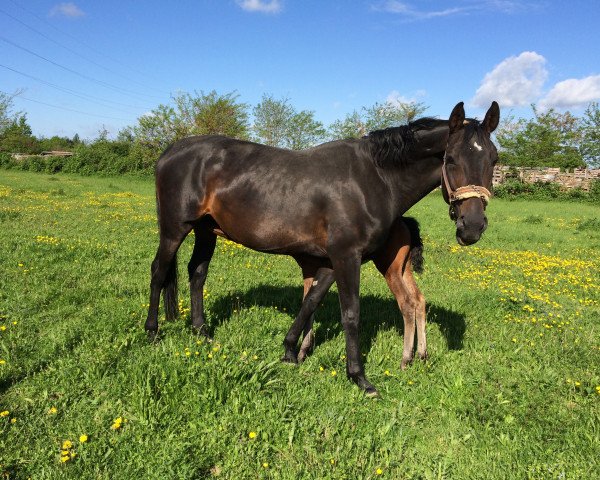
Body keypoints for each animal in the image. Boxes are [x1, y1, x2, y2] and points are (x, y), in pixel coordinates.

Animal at [148, 100, 500, 394]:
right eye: (450, 159)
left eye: (494, 159)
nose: (472, 226)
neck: (373, 179)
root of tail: (171, 152)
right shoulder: (346, 257)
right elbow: (351, 314)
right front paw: (359, 377)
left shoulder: (330, 260)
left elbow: (311, 301)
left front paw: (290, 351)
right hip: (175, 229)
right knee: (159, 271)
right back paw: (152, 332)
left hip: (205, 231)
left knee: (197, 273)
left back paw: (202, 332)